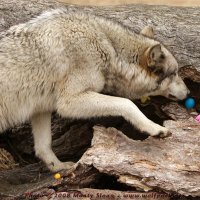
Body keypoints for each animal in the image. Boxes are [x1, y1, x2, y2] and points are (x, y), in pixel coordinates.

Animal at [0, 9, 189, 172]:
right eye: (175, 73)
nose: (188, 93)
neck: (109, 48)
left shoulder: (41, 109)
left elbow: (43, 146)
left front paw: (59, 168)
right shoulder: (68, 103)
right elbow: (127, 103)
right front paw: (155, 128)